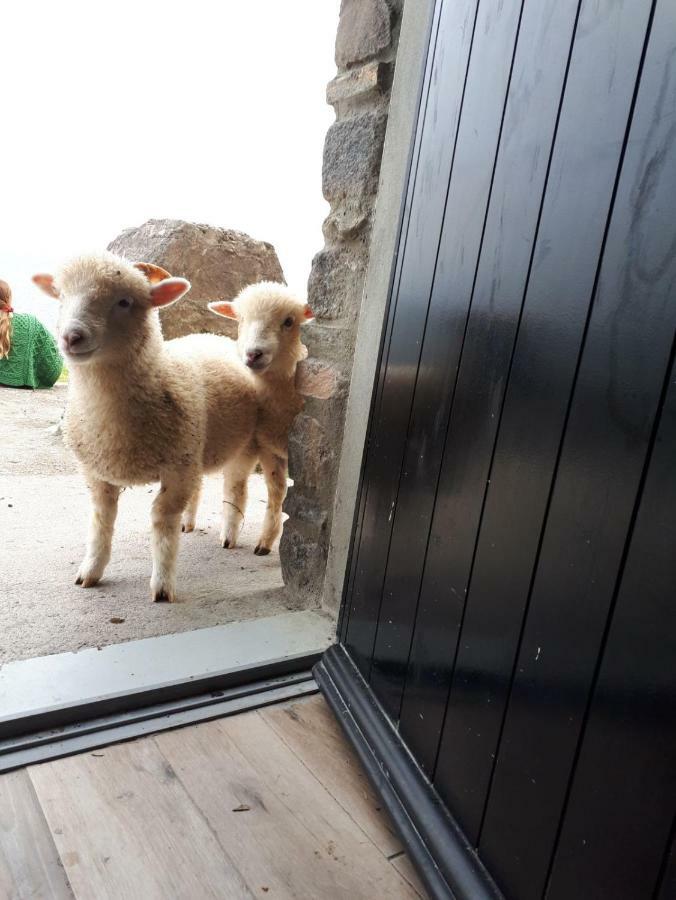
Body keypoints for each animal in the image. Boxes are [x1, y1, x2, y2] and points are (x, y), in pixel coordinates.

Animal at [33, 255, 258, 604]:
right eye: (61, 296)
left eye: (124, 302)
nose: (71, 337)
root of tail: (215, 337)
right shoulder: (96, 471)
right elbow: (101, 519)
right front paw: (91, 570)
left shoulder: (177, 469)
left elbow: (162, 518)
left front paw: (163, 584)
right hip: (196, 449)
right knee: (199, 488)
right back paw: (188, 524)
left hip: (240, 448)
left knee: (235, 490)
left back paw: (229, 535)